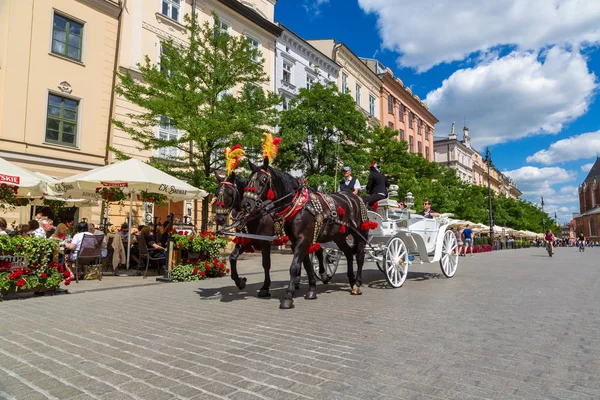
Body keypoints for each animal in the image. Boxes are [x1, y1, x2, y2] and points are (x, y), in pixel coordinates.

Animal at [239, 159, 370, 310]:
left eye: (263, 180)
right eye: (248, 180)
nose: (246, 204)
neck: (297, 206)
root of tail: (355, 197)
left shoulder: (303, 240)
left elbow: (295, 266)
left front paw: (288, 297)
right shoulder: (297, 241)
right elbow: (307, 265)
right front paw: (312, 290)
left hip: (359, 232)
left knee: (359, 256)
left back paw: (357, 284)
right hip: (339, 236)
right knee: (348, 253)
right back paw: (351, 280)